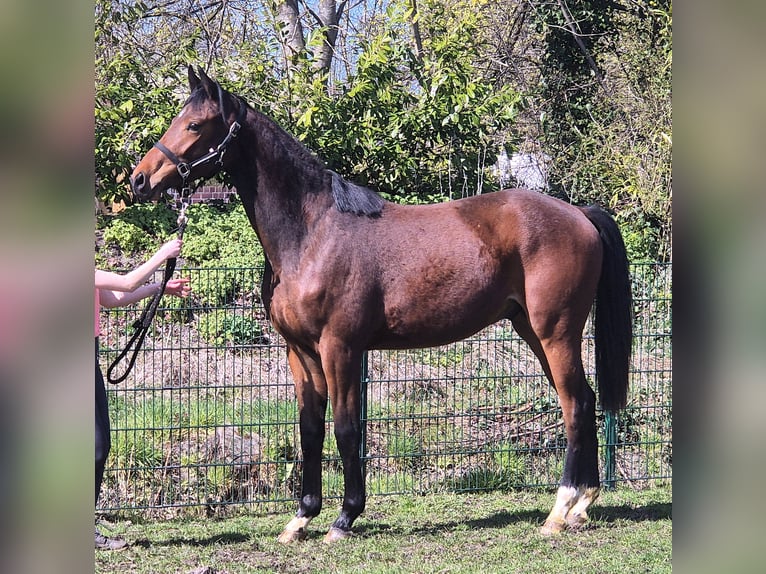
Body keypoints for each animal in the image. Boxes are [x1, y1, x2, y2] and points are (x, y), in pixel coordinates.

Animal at [130, 66, 633, 542]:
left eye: (195, 124)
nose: (140, 179)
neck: (312, 234)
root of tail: (578, 213)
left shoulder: (340, 348)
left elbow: (346, 429)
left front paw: (344, 518)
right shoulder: (300, 353)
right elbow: (310, 431)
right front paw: (301, 518)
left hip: (556, 332)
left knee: (574, 405)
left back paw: (559, 511)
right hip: (532, 331)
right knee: (585, 400)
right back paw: (582, 505)